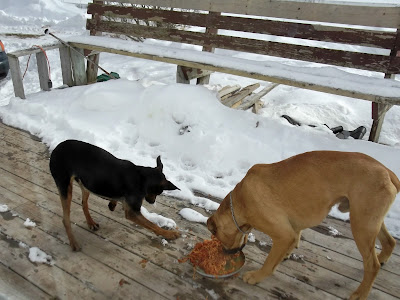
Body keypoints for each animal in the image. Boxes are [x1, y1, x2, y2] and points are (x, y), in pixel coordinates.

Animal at [49, 140, 180, 251]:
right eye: (159, 192)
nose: (152, 202)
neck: (143, 177)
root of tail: (56, 148)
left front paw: (112, 204)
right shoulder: (132, 212)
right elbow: (152, 225)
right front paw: (170, 234)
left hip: (87, 183)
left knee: (84, 203)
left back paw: (91, 222)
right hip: (65, 186)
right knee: (66, 219)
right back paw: (74, 243)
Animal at [208, 151, 398, 298]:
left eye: (216, 236)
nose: (225, 252)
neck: (240, 201)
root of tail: (388, 172)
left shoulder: (283, 235)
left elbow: (269, 262)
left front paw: (257, 276)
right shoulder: (293, 227)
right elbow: (294, 239)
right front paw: (286, 254)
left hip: (361, 226)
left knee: (371, 265)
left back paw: (361, 293)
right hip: (370, 221)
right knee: (390, 242)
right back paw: (382, 259)